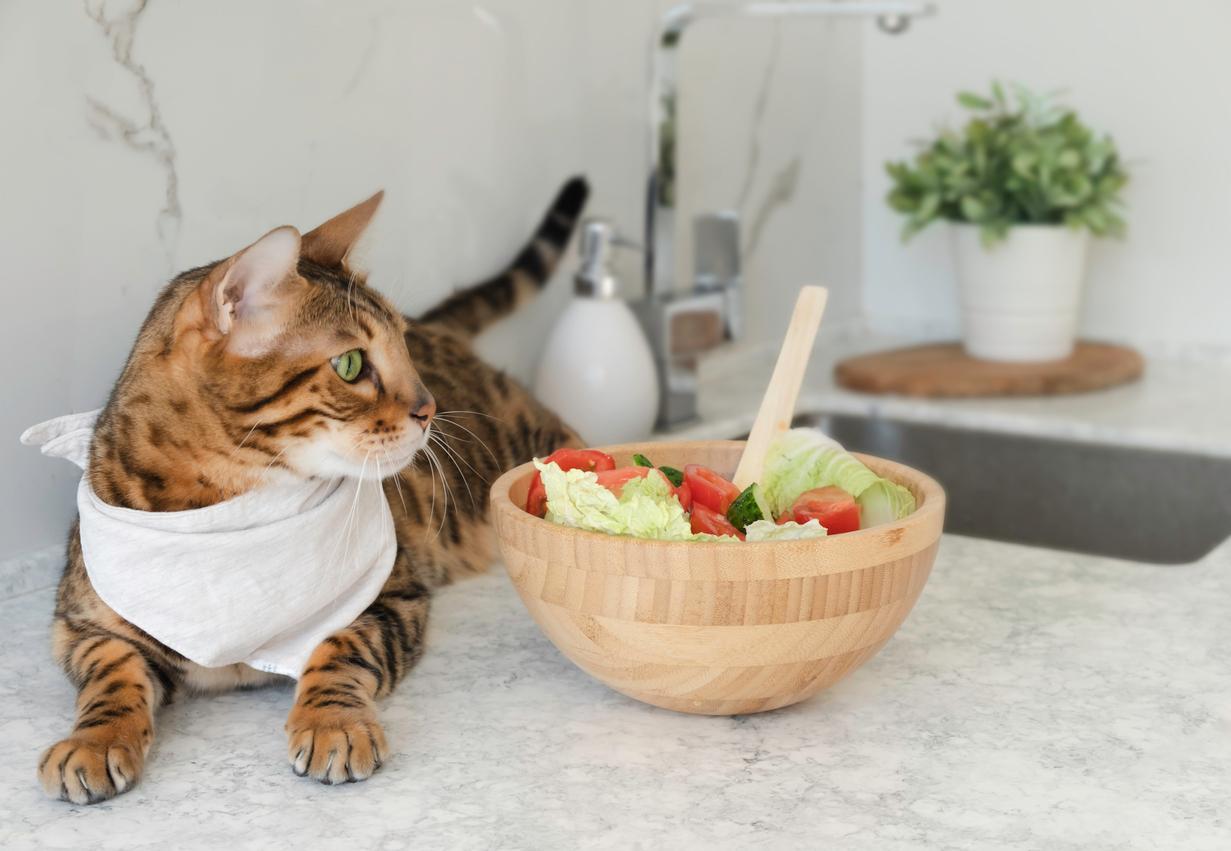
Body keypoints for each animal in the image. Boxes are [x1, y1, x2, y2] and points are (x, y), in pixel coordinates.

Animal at [36, 176, 588, 802]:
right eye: (350, 365)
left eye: (403, 347)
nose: (429, 408)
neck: (225, 511)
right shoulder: (81, 623)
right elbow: (110, 675)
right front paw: (95, 739)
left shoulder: (394, 593)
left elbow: (338, 649)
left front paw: (333, 723)